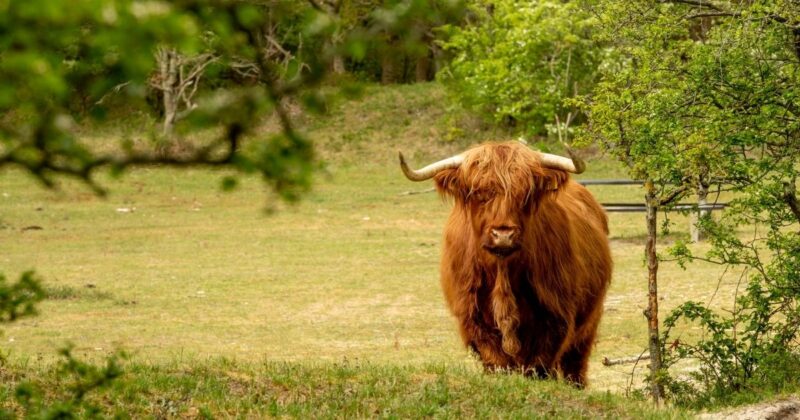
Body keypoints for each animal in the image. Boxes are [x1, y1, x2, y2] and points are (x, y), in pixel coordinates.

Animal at [400, 142, 612, 388]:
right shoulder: (473, 318)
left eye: (525, 194)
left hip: (588, 323)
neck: (503, 275)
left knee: (574, 366)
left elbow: (537, 366)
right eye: (479, 193)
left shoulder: (555, 317)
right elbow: (497, 362)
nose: (503, 235)